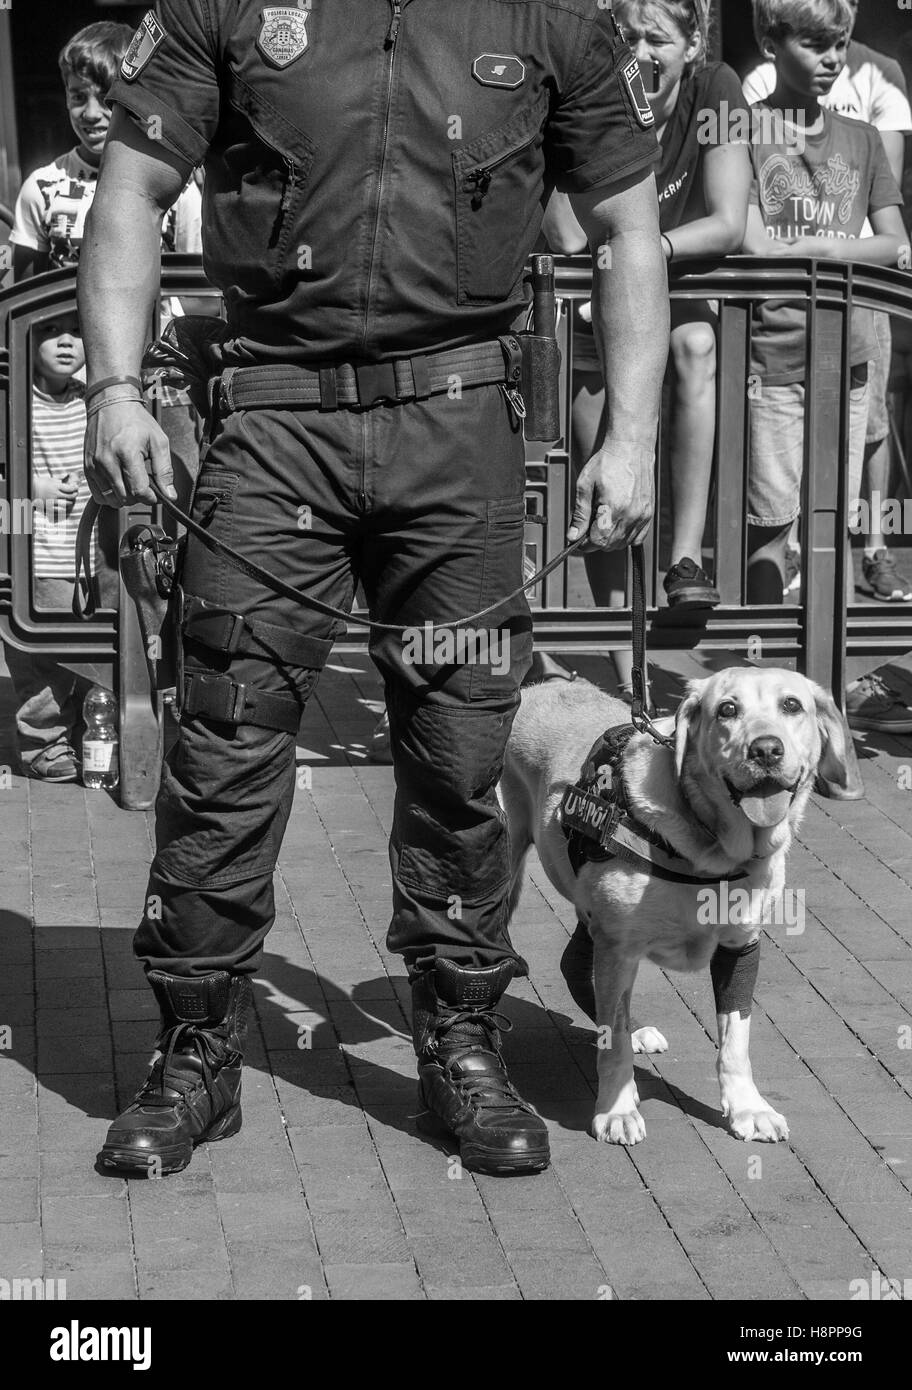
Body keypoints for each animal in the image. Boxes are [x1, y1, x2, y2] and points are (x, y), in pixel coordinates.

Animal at [497, 667, 845, 1145]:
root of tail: (535, 687)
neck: (712, 852)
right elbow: (614, 1042)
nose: (766, 749)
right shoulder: (620, 949)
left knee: (576, 962)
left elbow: (735, 1040)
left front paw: (748, 1108)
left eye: (792, 705)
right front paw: (616, 1110)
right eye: (727, 709)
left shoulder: (740, 945)